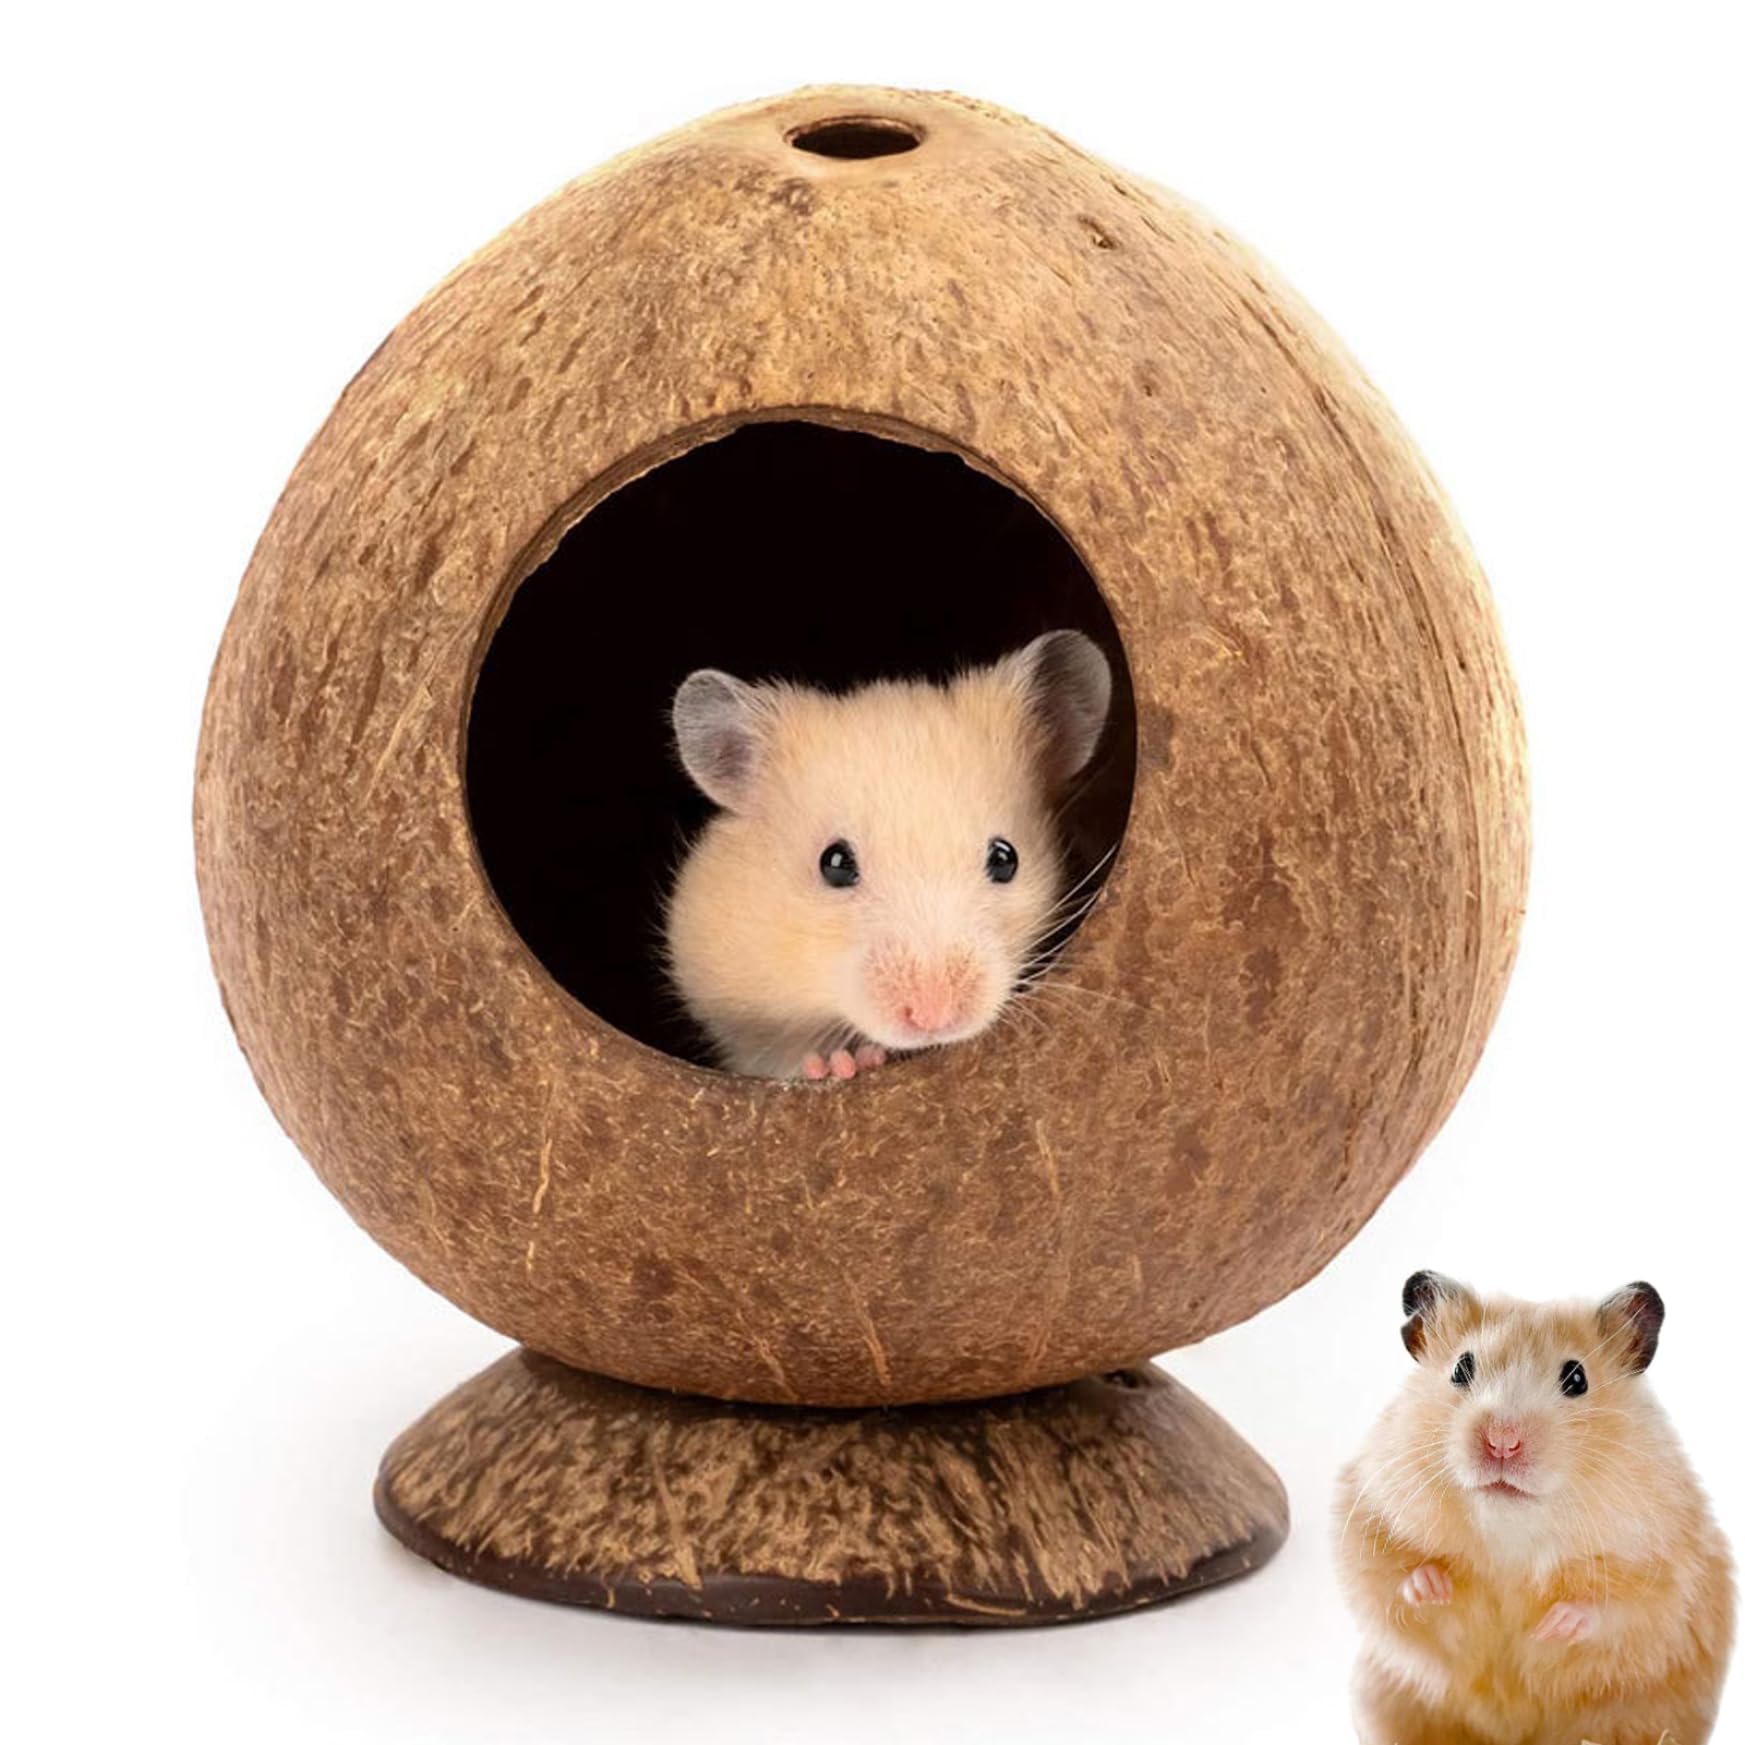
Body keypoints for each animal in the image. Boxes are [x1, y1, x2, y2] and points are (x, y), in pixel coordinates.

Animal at [1335, 1272, 1735, 1745]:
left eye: (1577, 1378)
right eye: (1460, 1369)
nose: (1502, 1442)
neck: (1512, 1531)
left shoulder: (1670, 1568)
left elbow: (1623, 1609)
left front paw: (1553, 1625)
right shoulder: (1365, 1509)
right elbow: (1386, 1575)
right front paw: (1433, 1586)